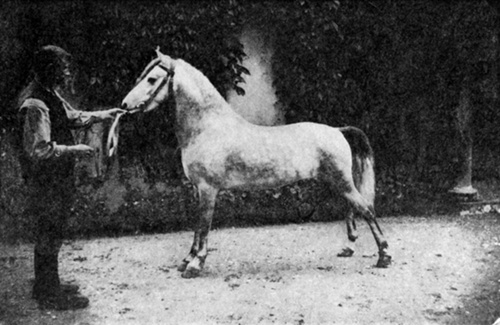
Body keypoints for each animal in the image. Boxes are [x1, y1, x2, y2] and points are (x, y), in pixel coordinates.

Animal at [120, 49, 390, 278]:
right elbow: (197, 226)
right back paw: (349, 249)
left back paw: (384, 256)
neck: (207, 127)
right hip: (339, 183)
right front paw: (187, 260)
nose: (124, 105)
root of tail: (337, 130)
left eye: (152, 79)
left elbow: (204, 226)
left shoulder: (208, 189)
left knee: (366, 210)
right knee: (354, 210)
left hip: (341, 182)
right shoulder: (198, 189)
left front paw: (195, 265)